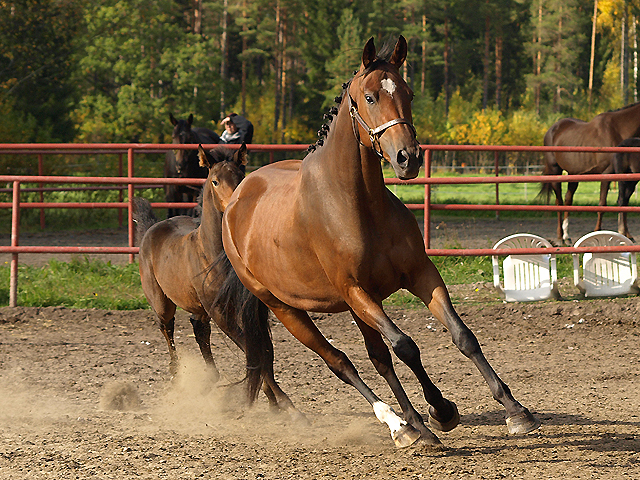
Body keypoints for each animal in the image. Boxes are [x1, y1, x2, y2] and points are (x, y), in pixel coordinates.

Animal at [216, 36, 540, 450]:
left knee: (377, 358)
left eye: (408, 93)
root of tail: (235, 200)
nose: (408, 158)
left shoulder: (419, 275)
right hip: (289, 309)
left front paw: (514, 411)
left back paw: (416, 425)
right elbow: (405, 346)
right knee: (341, 362)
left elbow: (462, 336)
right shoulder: (357, 292)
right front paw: (439, 410)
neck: (357, 204)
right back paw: (400, 425)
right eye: (370, 97)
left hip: (355, 308)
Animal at [544, 101, 640, 244]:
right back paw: (560, 237)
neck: (619, 130)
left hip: (573, 175)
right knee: (559, 202)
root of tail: (551, 130)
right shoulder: (607, 174)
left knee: (568, 199)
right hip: (555, 171)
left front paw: (628, 235)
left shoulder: (629, 177)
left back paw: (567, 236)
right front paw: (597, 232)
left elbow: (624, 203)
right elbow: (603, 204)